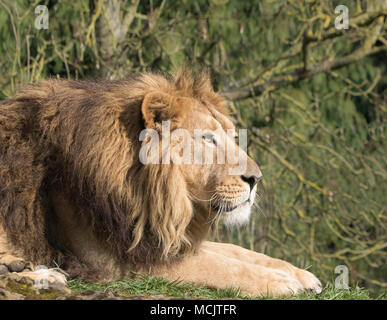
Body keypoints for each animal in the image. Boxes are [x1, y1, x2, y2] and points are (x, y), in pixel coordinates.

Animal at [0, 70, 322, 298]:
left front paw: (300, 274)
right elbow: (221, 266)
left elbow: (235, 252)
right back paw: (43, 275)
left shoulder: (161, 238)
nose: (256, 179)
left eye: (233, 137)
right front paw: (280, 282)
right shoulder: (119, 262)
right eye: (208, 138)